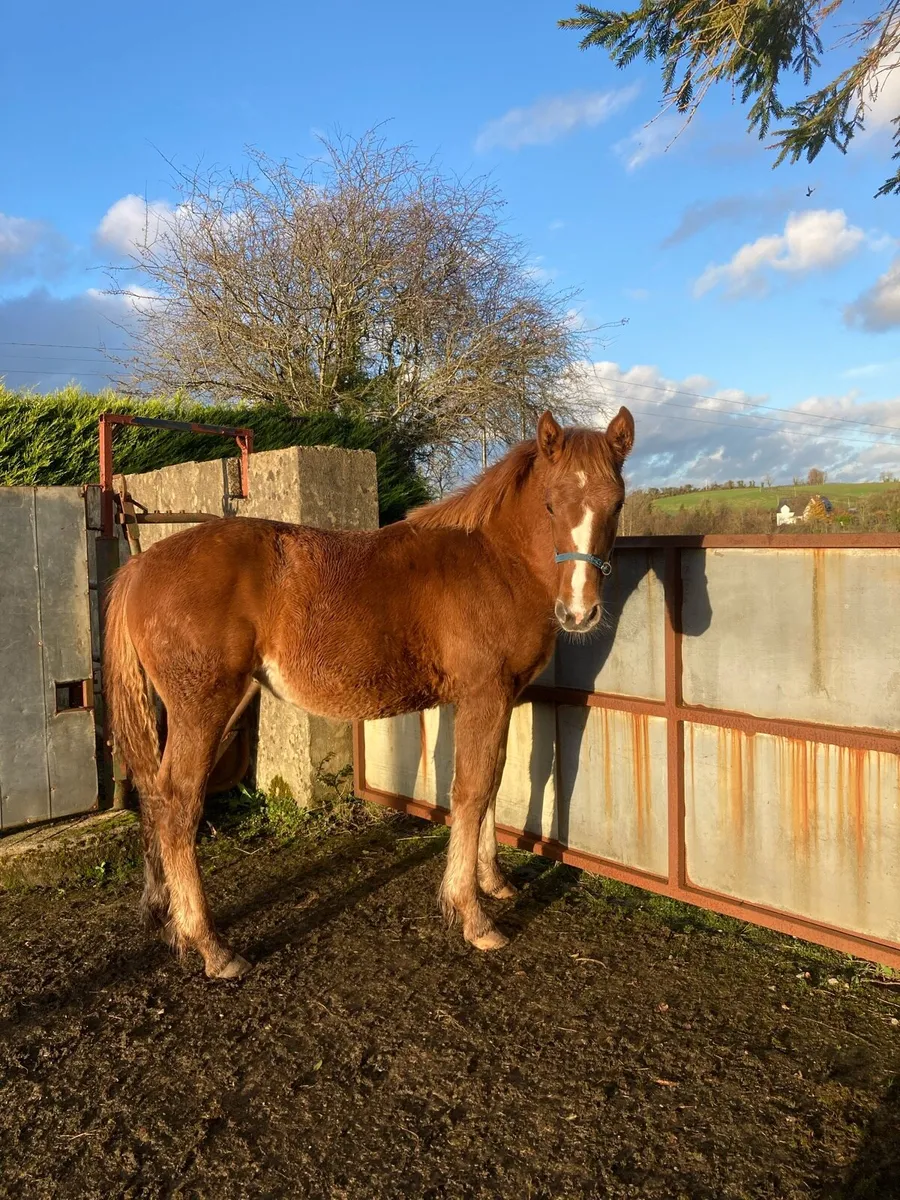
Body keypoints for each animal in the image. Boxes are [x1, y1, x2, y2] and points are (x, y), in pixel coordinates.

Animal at [104, 407, 634, 979]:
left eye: (617, 503)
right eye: (551, 503)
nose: (579, 613)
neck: (493, 560)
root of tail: (138, 566)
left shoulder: (501, 698)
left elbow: (491, 783)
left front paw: (494, 883)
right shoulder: (484, 695)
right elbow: (470, 792)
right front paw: (472, 916)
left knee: (155, 795)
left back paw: (167, 915)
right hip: (202, 708)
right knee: (179, 802)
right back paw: (211, 945)